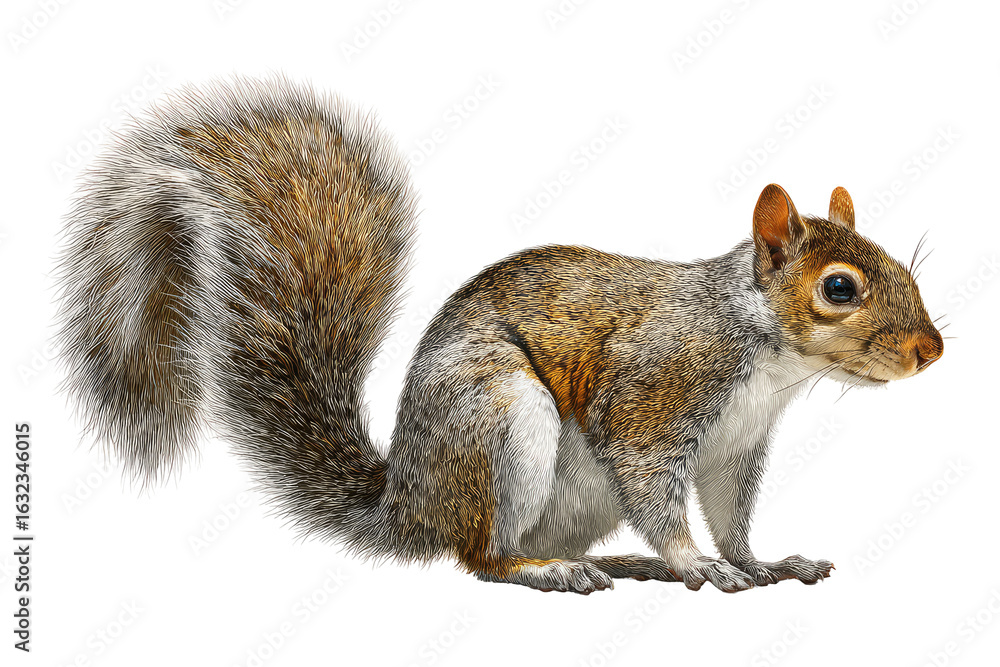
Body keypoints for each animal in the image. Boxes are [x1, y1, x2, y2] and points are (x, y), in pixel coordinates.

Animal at [56, 75, 944, 594]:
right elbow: (655, 487)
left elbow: (732, 511)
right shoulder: (654, 399)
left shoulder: (737, 446)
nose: (930, 351)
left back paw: (613, 559)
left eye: (903, 263)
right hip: (499, 419)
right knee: (479, 558)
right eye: (839, 288)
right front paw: (696, 560)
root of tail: (409, 504)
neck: (763, 355)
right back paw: (549, 570)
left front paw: (761, 560)